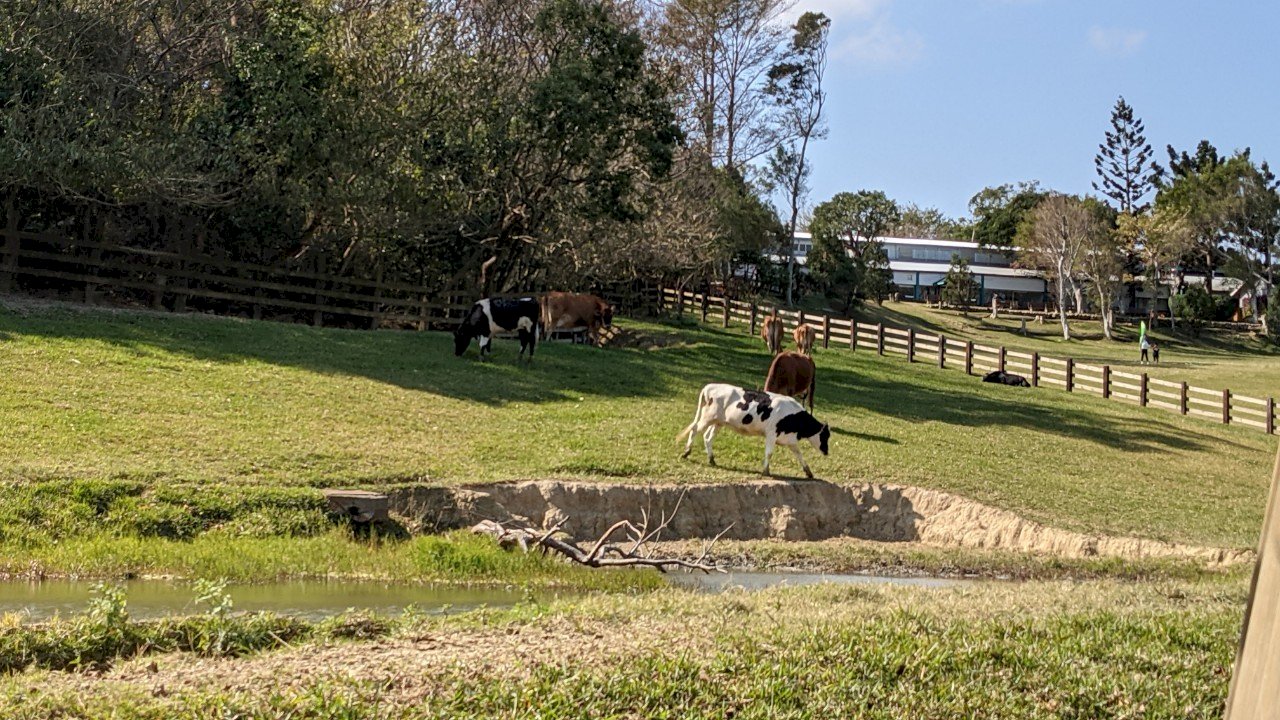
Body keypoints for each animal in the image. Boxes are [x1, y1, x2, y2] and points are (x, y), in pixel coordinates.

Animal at [678, 383, 830, 479]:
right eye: (825, 436)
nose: (827, 451)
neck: (793, 414)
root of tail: (710, 386)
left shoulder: (790, 440)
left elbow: (799, 455)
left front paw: (809, 472)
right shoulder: (771, 434)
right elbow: (769, 453)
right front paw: (766, 471)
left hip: (718, 422)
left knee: (707, 437)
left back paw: (711, 459)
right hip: (707, 418)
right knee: (694, 430)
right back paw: (686, 452)